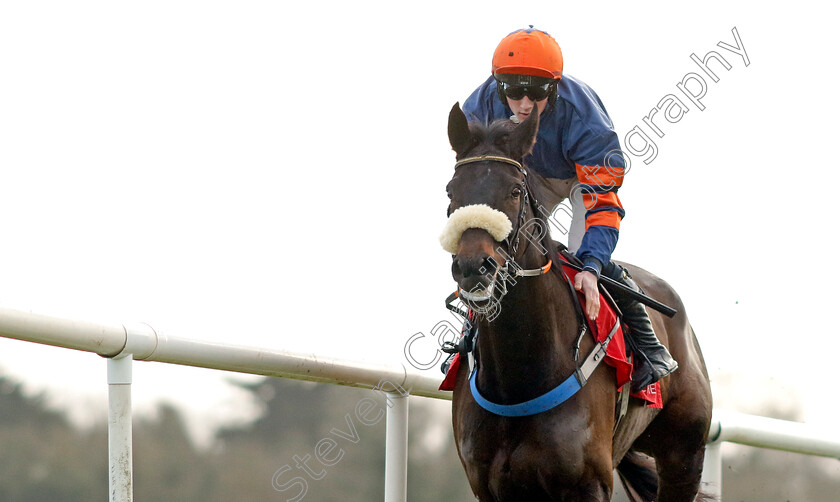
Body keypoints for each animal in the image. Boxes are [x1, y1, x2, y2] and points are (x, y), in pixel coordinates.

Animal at [442, 103, 712, 502]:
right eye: (451, 191)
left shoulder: (588, 483)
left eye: (515, 190)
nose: (474, 266)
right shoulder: (490, 487)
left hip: (684, 455)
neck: (520, 378)